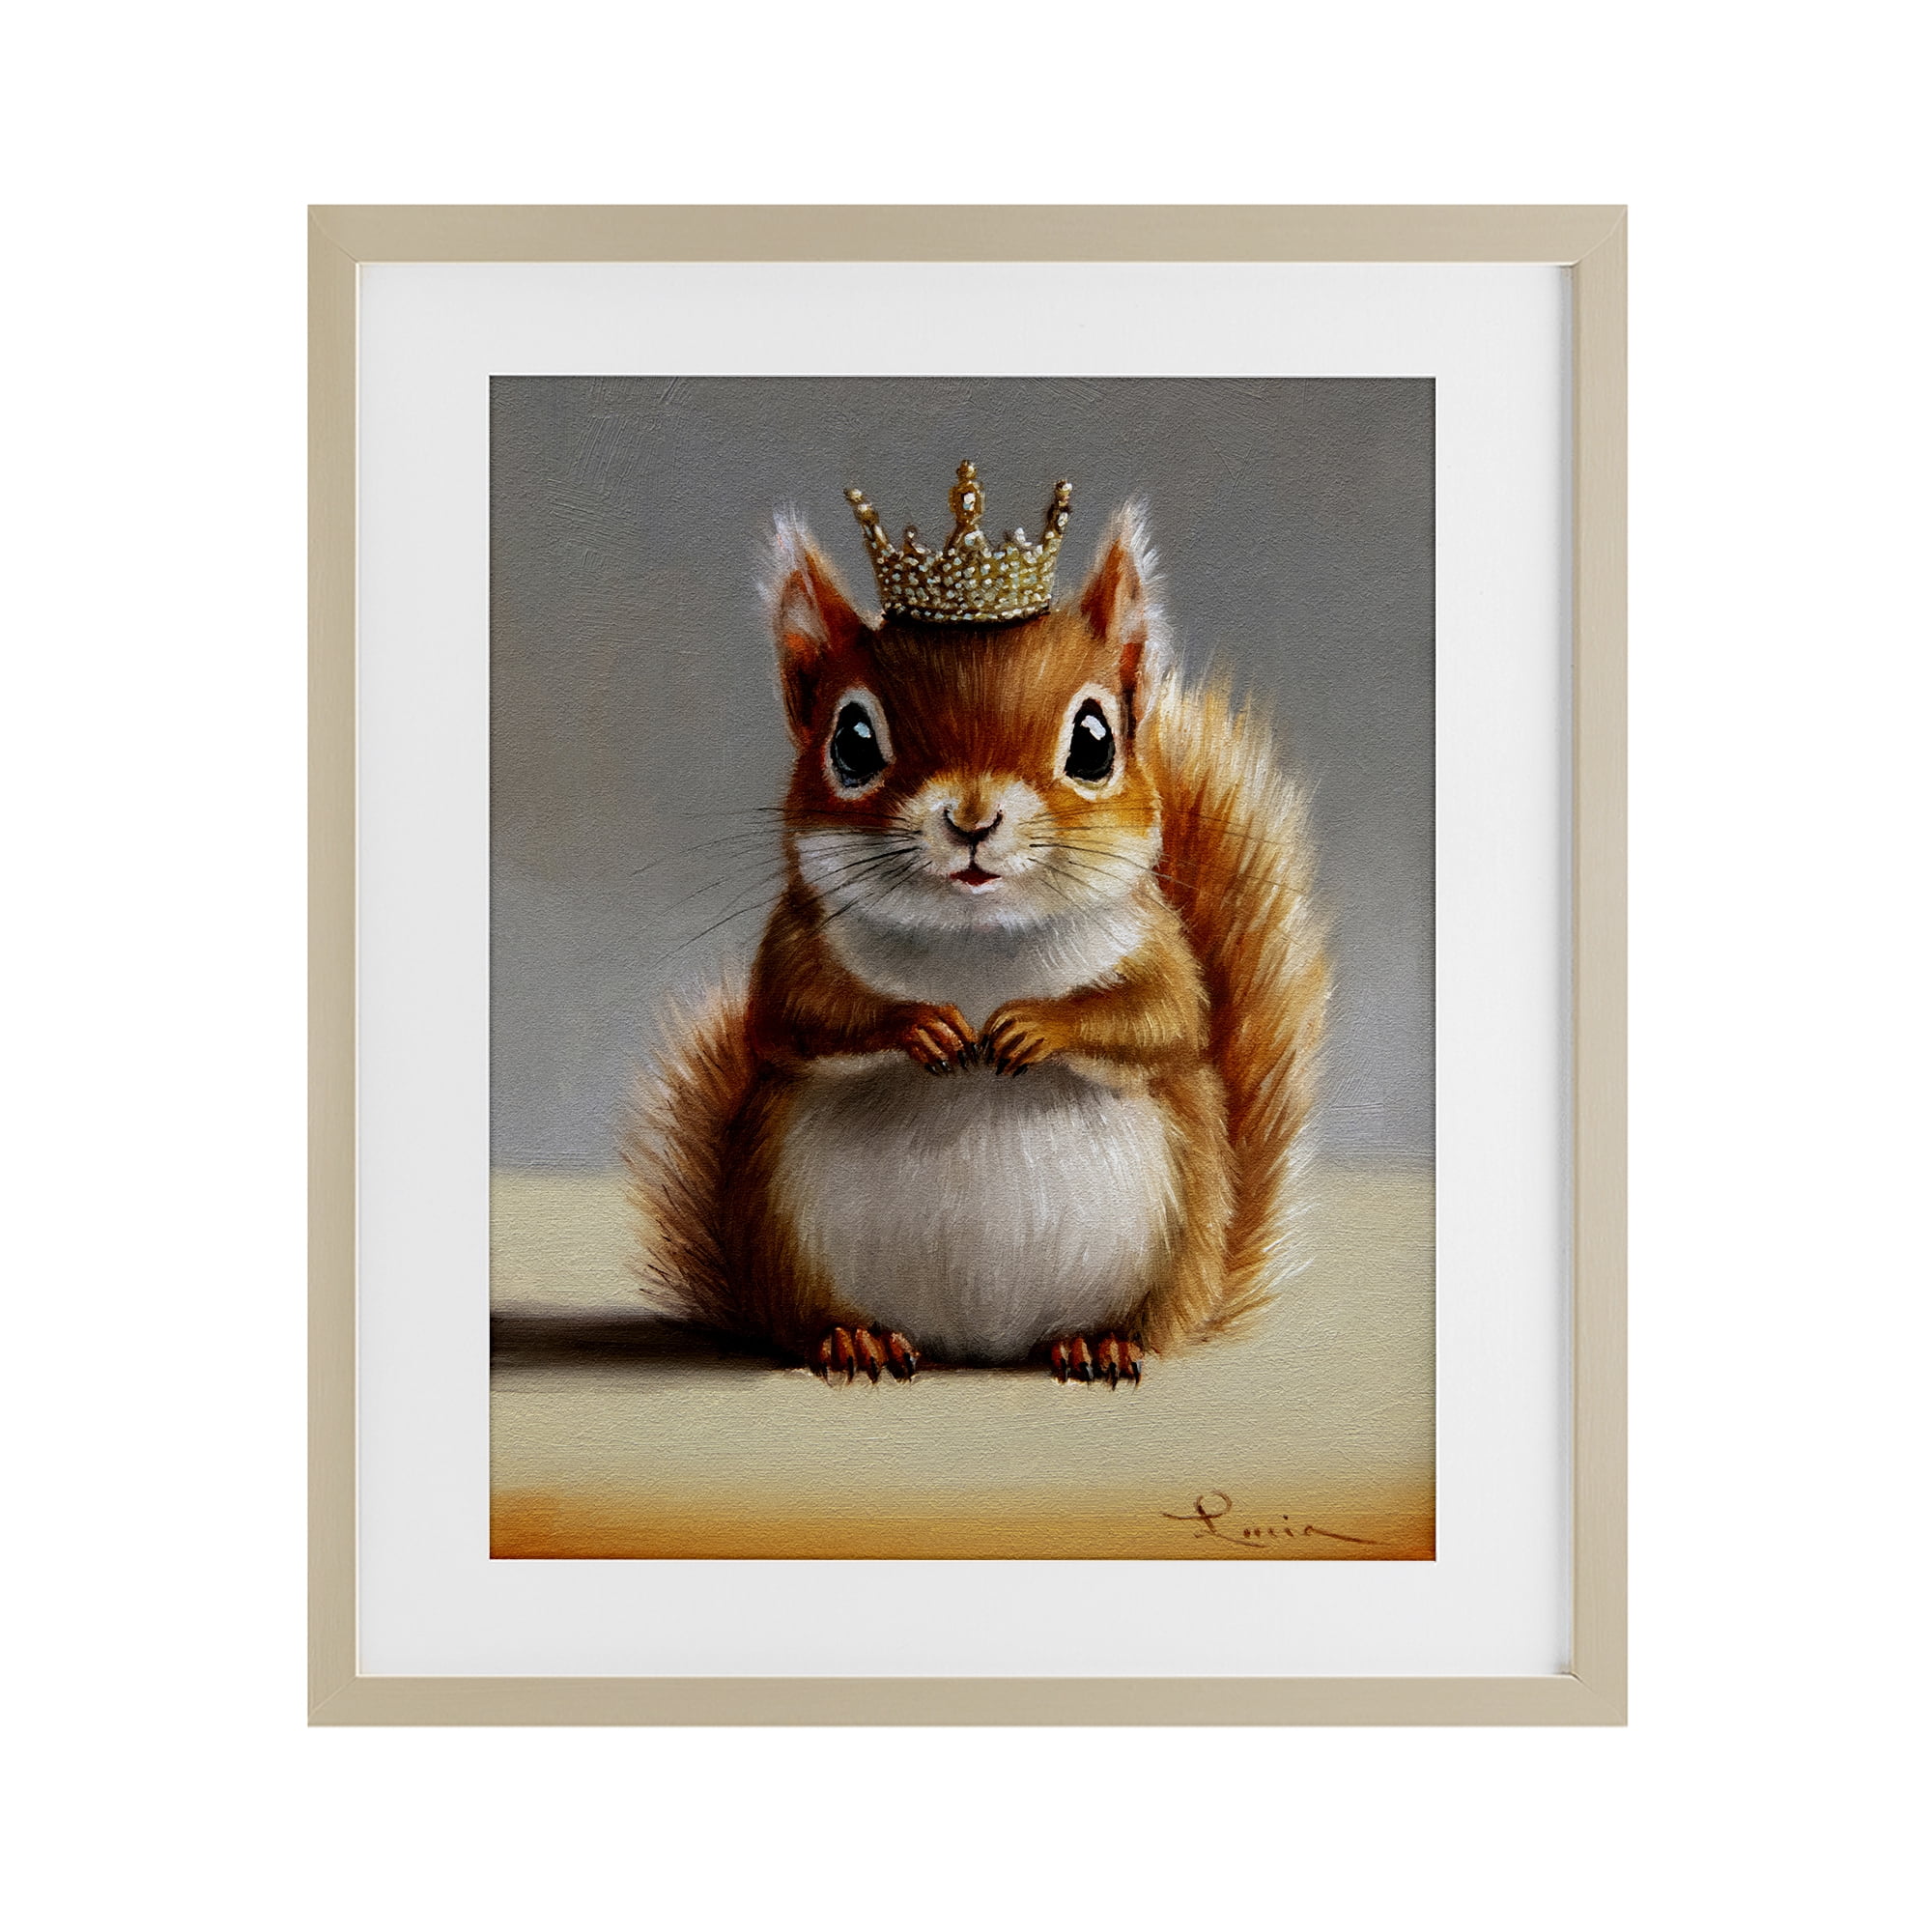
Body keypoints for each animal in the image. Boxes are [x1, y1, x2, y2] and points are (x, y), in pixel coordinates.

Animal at [623, 466, 1328, 1386]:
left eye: (1095, 741)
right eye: (852, 741)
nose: (971, 818)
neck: (977, 940)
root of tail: (978, 1345)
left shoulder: (1159, 947)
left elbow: (1162, 1016)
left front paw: (1036, 1026)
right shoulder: (794, 945)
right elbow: (793, 1014)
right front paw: (919, 1024)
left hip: (1176, 1244)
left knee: (1144, 1323)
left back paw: (1102, 1342)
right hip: (781, 1234)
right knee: (810, 1322)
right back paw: (854, 1338)